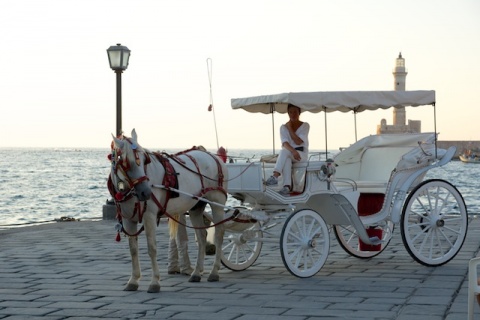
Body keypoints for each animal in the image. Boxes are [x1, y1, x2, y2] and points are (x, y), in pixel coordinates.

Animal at [109, 129, 229, 292]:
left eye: (144, 159)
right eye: (126, 162)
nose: (146, 192)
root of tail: (213, 156)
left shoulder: (149, 216)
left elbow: (151, 248)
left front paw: (154, 282)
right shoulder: (128, 219)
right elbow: (133, 249)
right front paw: (133, 280)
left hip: (217, 202)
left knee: (219, 234)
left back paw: (214, 272)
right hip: (196, 207)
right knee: (202, 237)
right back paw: (196, 273)